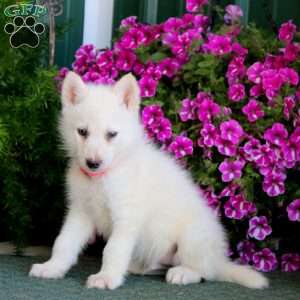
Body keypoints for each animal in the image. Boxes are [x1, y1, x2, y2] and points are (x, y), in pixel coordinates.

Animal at [29, 71, 268, 290]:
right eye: (82, 132)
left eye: (111, 134)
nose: (93, 163)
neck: (103, 177)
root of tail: (219, 260)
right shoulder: (80, 212)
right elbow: (64, 242)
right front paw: (52, 267)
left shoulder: (126, 218)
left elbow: (112, 250)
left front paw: (106, 277)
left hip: (193, 237)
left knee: (204, 272)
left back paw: (183, 273)